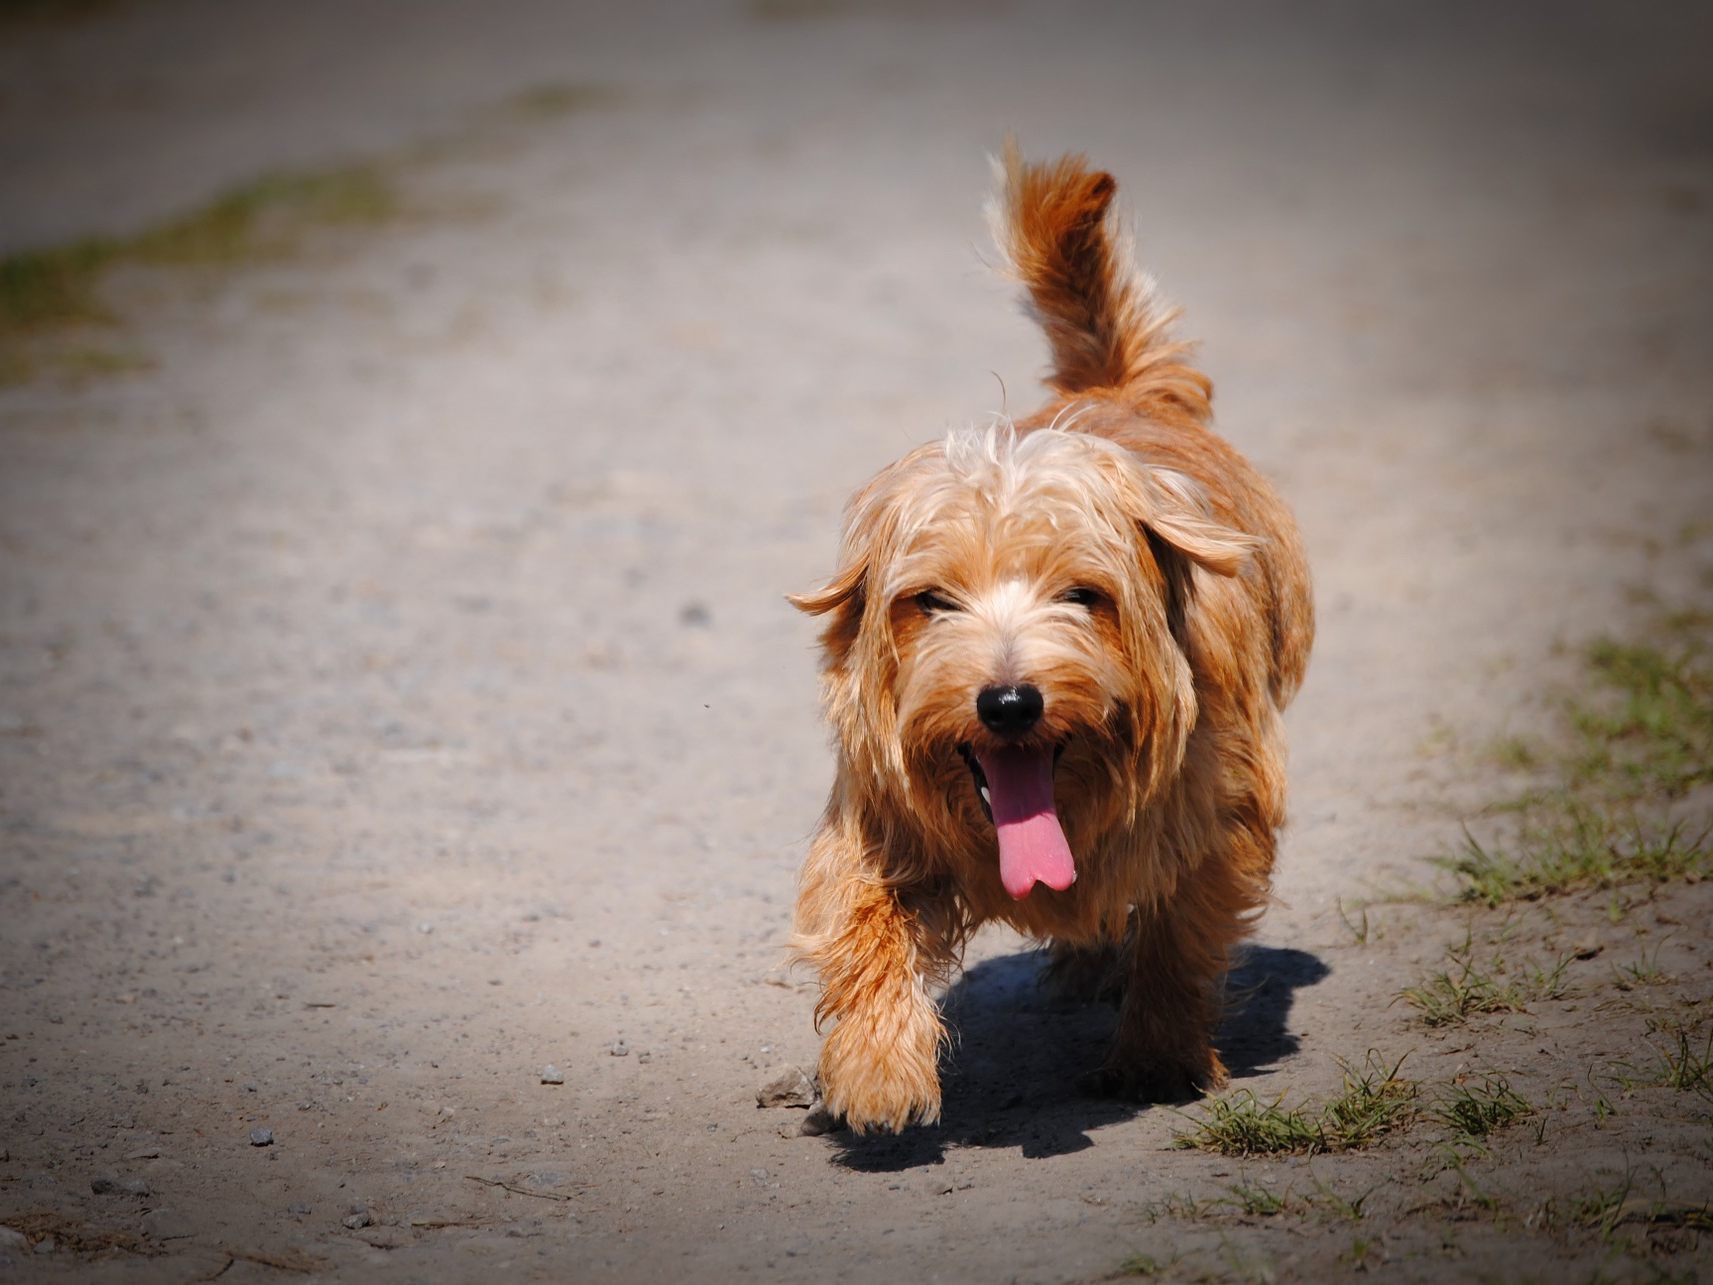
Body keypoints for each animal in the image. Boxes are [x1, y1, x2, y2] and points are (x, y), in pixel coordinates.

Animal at [787, 143, 1308, 1137]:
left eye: (1082, 595)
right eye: (930, 601)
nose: (1008, 701)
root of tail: (1115, 387)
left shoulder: (1219, 813)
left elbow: (1182, 932)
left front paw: (1157, 1054)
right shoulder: (878, 815)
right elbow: (862, 919)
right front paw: (876, 1066)